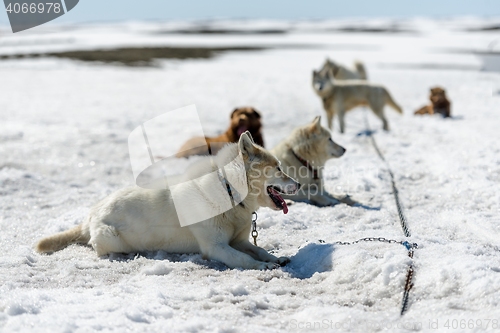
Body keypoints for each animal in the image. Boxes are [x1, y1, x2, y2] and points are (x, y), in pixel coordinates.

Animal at [37, 132, 300, 270]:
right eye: (278, 168)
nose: (298, 184)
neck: (229, 191)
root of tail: (91, 213)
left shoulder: (239, 241)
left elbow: (259, 249)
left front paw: (275, 258)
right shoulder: (216, 247)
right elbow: (244, 258)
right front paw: (263, 266)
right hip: (111, 239)